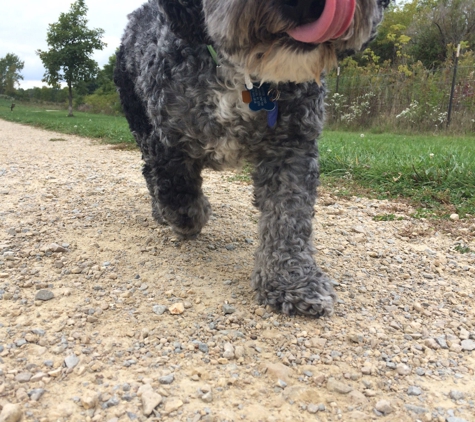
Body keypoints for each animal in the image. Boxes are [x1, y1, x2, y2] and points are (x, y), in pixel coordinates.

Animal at [115, 0, 390, 316]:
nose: (303, 5)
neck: (244, 74)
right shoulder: (166, 140)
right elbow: (177, 193)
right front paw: (195, 215)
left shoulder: (292, 147)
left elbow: (289, 218)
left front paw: (291, 282)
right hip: (139, 119)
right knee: (150, 174)